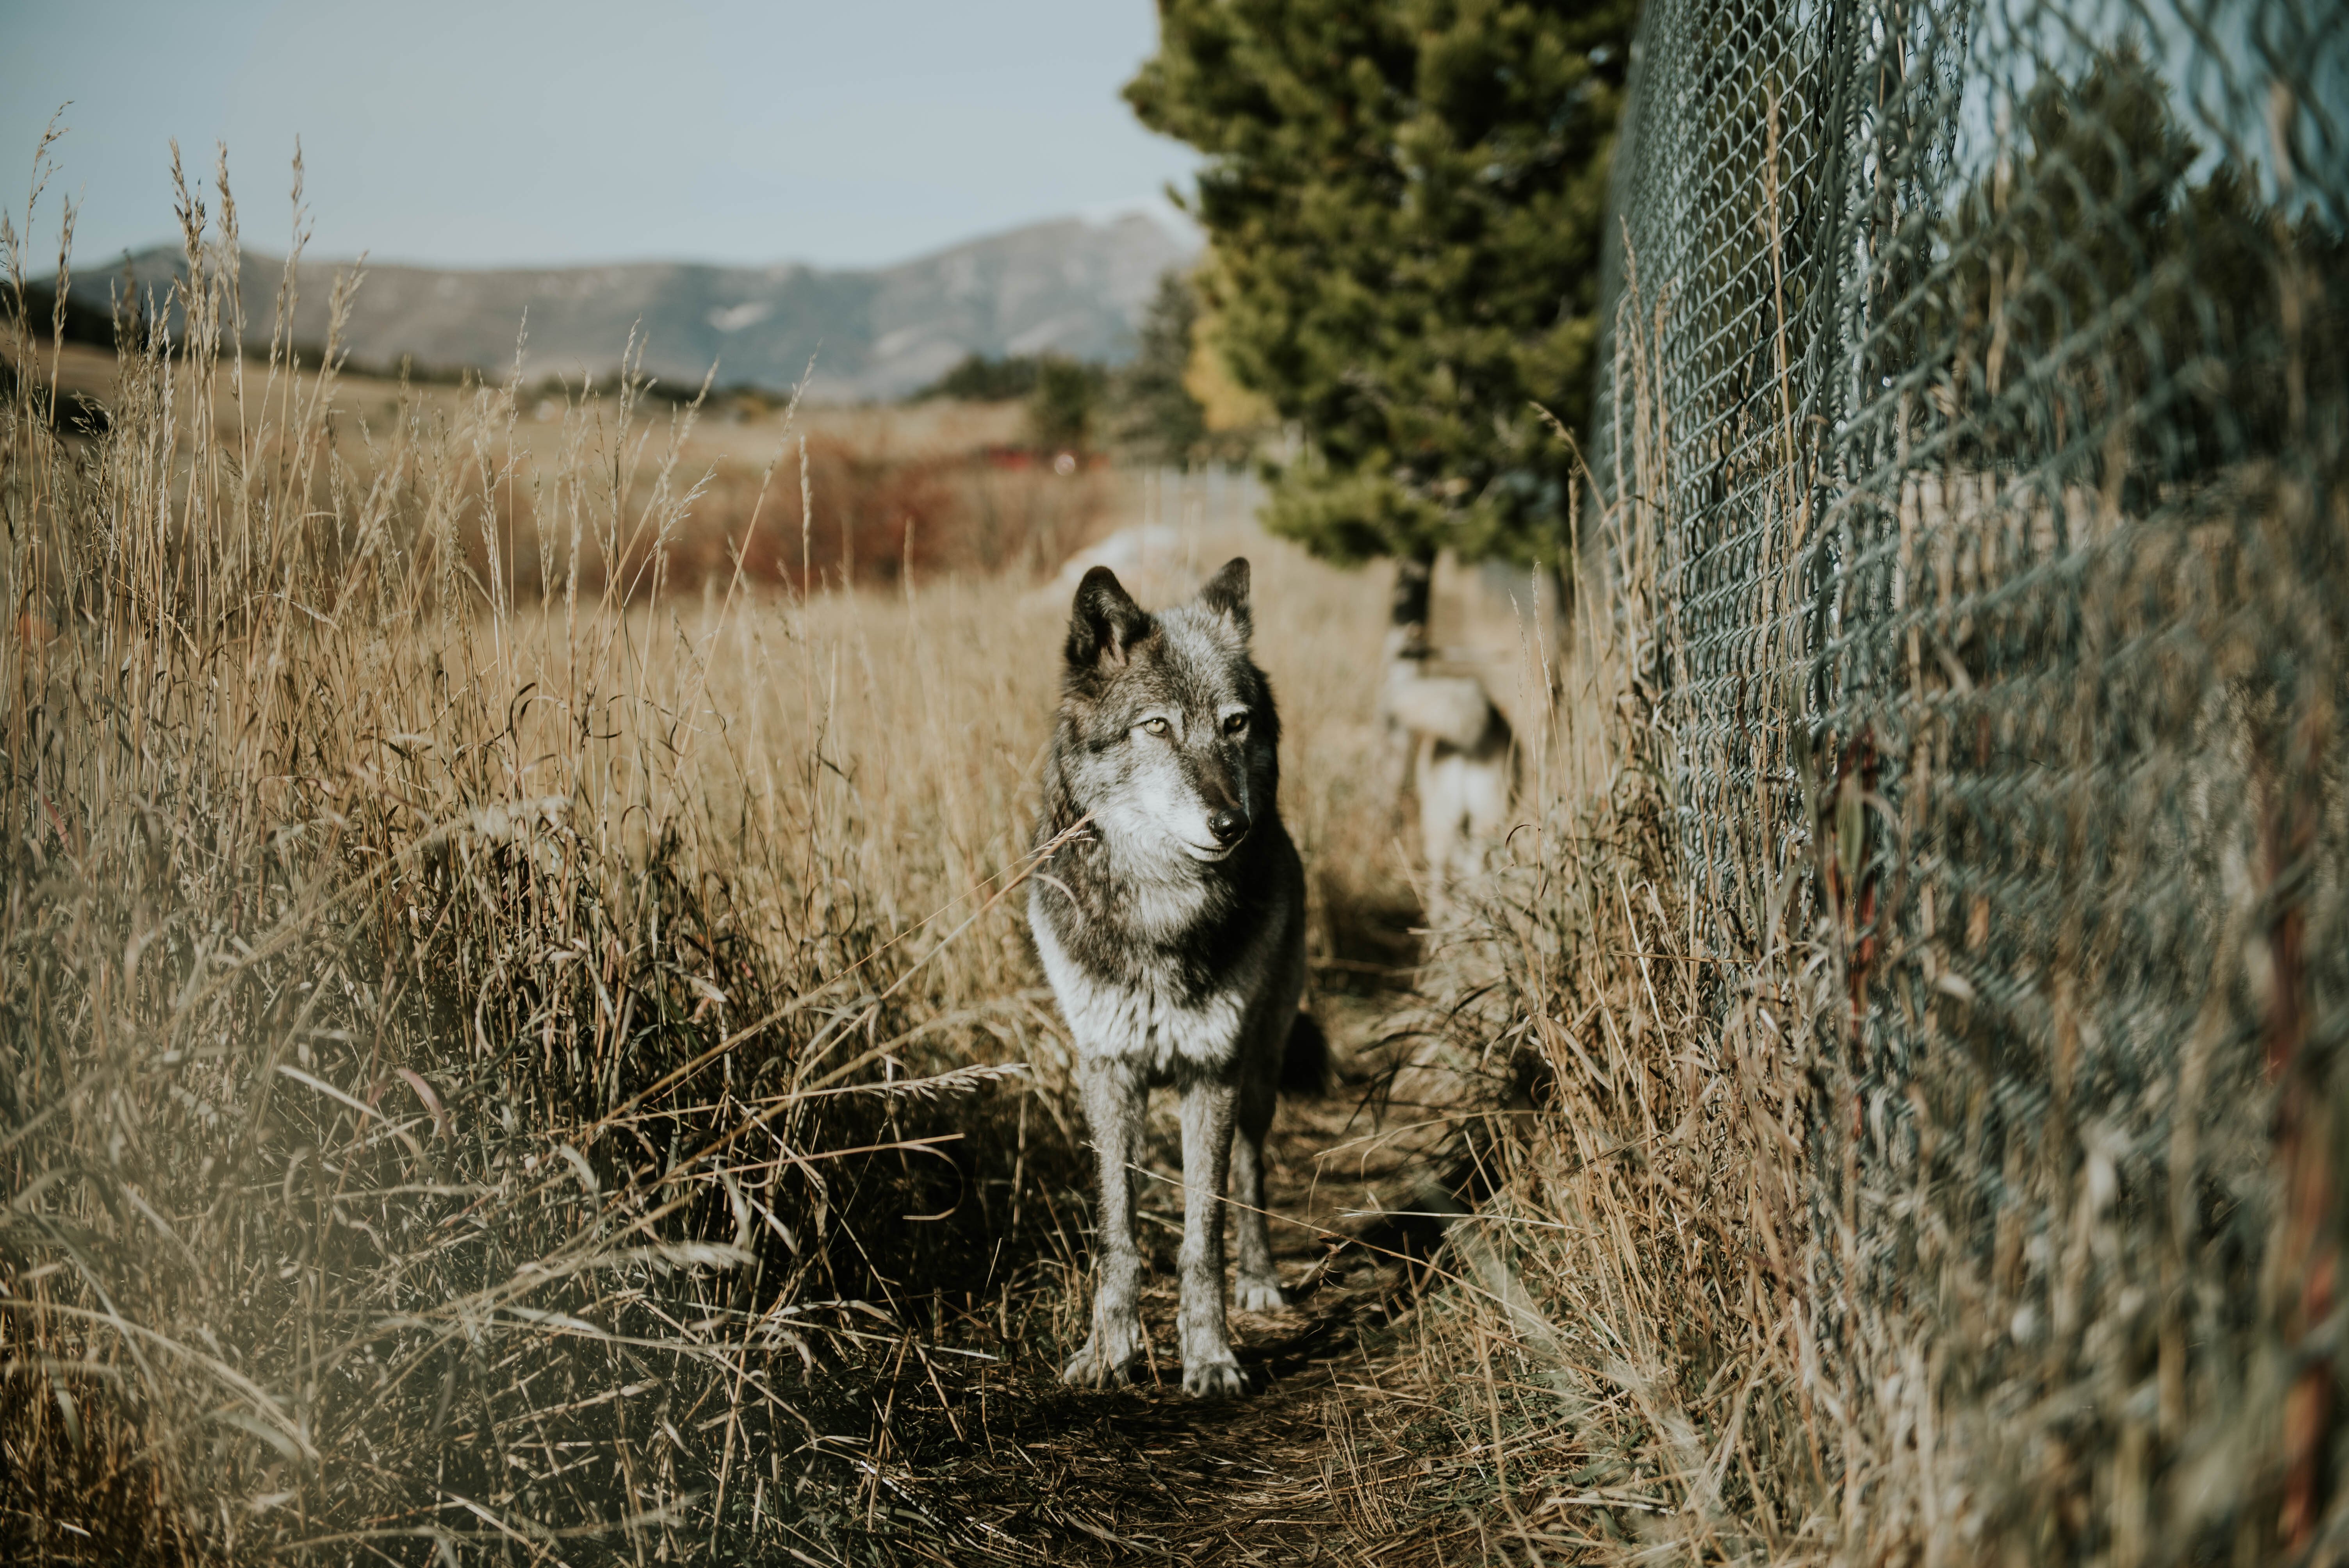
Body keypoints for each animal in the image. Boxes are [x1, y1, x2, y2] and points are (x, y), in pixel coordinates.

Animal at [1029, 557, 1307, 1398]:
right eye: (1156, 726)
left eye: (1235, 724)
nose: (1231, 826)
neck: (1160, 911)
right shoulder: (1107, 1068)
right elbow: (1115, 1233)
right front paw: (1108, 1351)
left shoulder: (1209, 1071)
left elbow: (1202, 1236)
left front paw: (1210, 1355)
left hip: (1257, 1067)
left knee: (1249, 1171)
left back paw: (1260, 1280)